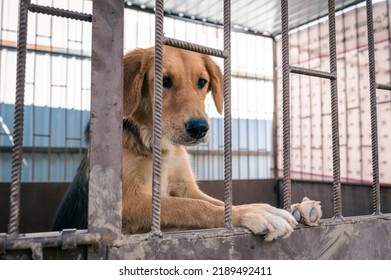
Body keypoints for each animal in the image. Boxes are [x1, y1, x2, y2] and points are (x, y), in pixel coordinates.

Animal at [52, 46, 298, 241]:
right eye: (164, 81)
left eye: (202, 82)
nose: (199, 128)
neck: (162, 148)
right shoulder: (127, 202)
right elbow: (194, 207)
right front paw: (253, 215)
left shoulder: (184, 187)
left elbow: (220, 203)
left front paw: (264, 209)